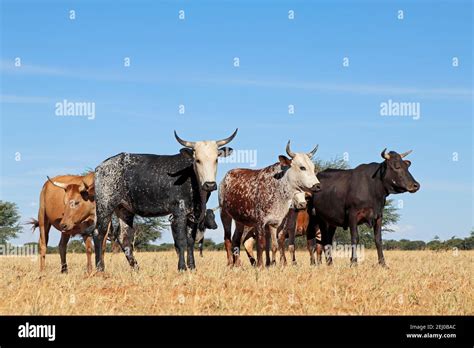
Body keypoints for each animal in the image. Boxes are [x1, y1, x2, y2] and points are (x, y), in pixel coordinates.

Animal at [92, 129, 237, 270]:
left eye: (216, 159)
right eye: (198, 160)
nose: (210, 185)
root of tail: (101, 166)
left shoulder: (193, 214)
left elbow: (190, 241)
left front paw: (192, 267)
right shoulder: (179, 212)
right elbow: (181, 241)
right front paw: (182, 267)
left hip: (124, 209)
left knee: (124, 238)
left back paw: (136, 268)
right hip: (105, 205)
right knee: (99, 233)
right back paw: (100, 268)